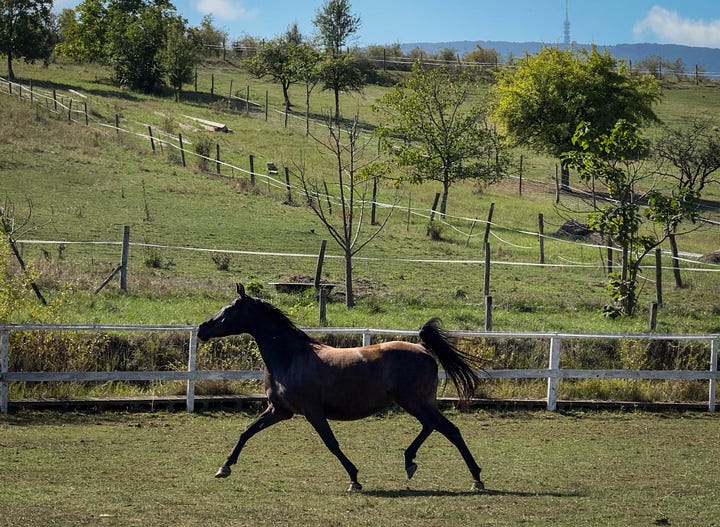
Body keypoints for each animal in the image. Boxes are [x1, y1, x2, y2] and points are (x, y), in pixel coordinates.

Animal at [197, 283, 485, 492]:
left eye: (228, 310)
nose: (201, 329)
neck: (290, 357)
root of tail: (424, 349)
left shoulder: (312, 411)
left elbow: (331, 443)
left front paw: (354, 479)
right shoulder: (279, 410)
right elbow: (246, 432)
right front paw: (224, 468)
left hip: (415, 401)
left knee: (447, 429)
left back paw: (475, 478)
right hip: (418, 403)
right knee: (436, 427)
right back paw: (412, 462)